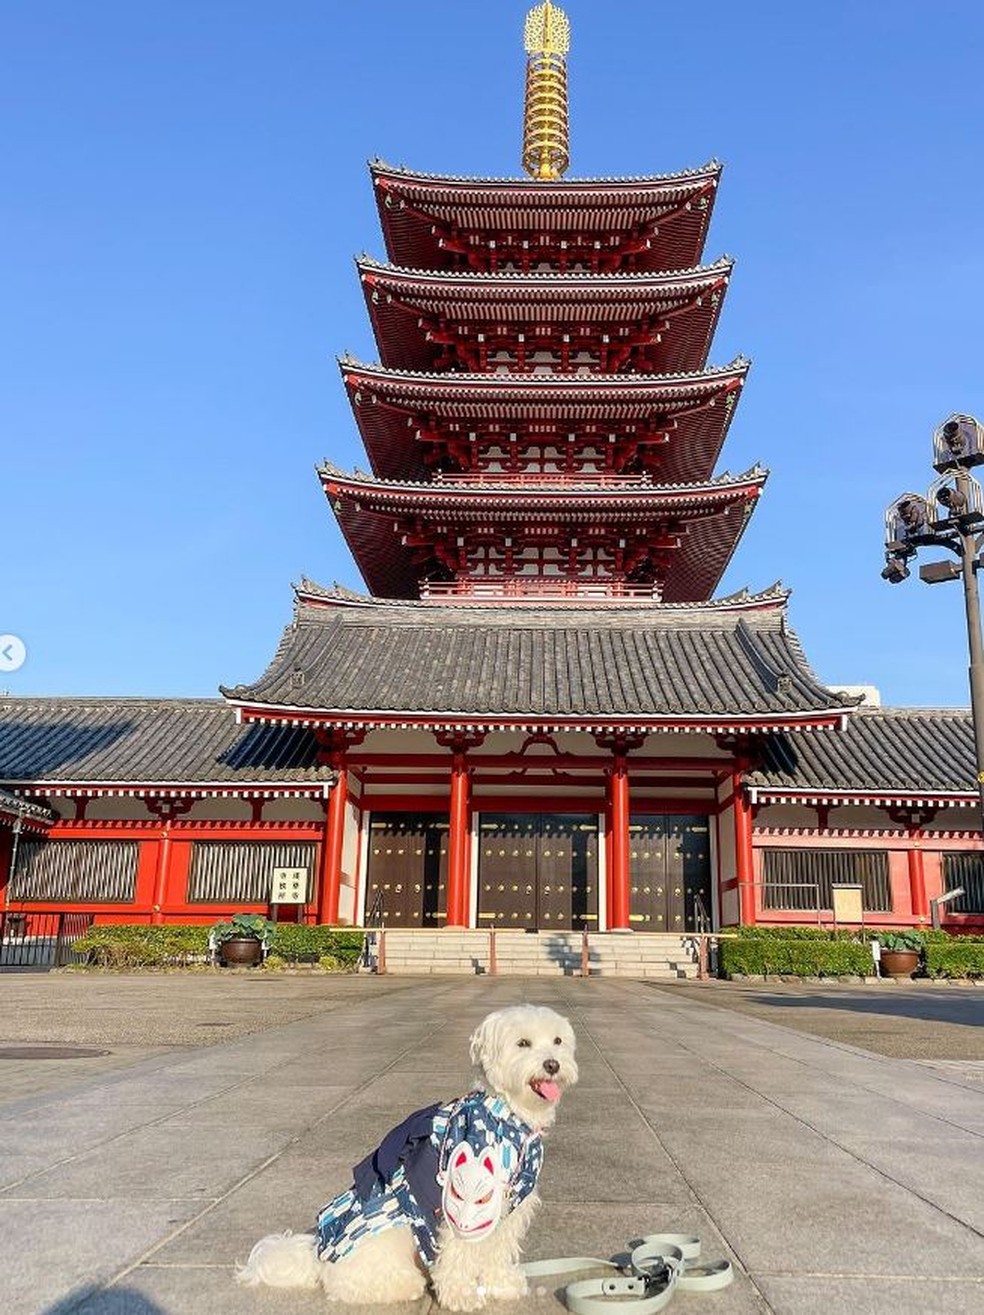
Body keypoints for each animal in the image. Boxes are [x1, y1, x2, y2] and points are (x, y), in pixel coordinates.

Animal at [238, 1004, 576, 1304]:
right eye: (523, 1043)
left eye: (558, 1041)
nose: (552, 1064)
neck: (507, 1115)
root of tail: (318, 1258)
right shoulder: (460, 1204)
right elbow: (459, 1254)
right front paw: (462, 1296)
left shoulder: (509, 1202)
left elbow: (498, 1247)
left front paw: (501, 1284)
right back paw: (405, 1284)